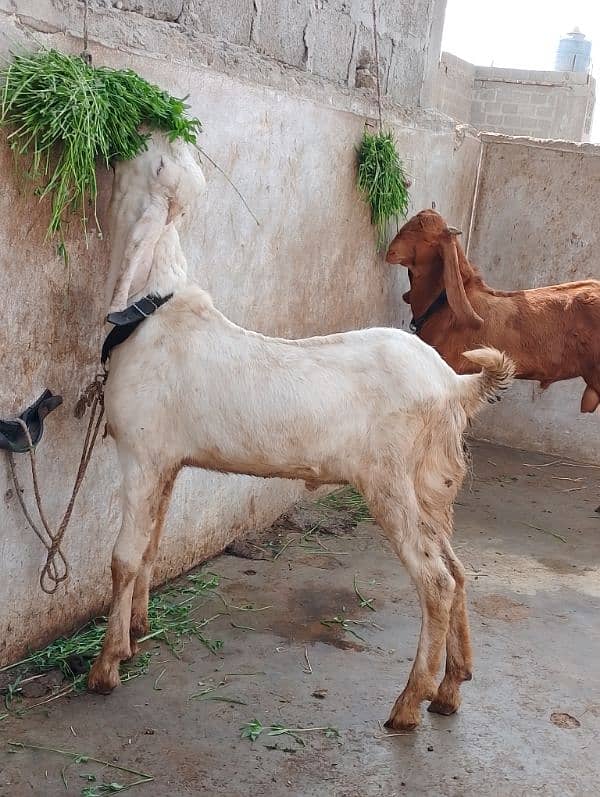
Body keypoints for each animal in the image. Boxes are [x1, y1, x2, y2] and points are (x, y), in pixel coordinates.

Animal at [89, 135, 516, 728]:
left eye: (157, 167)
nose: (137, 135)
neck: (154, 309)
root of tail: (454, 384)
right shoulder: (169, 462)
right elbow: (151, 546)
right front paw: (135, 633)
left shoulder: (142, 454)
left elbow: (124, 558)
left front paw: (105, 667)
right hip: (431, 481)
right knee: (455, 572)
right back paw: (450, 688)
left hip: (390, 481)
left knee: (434, 580)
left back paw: (408, 704)